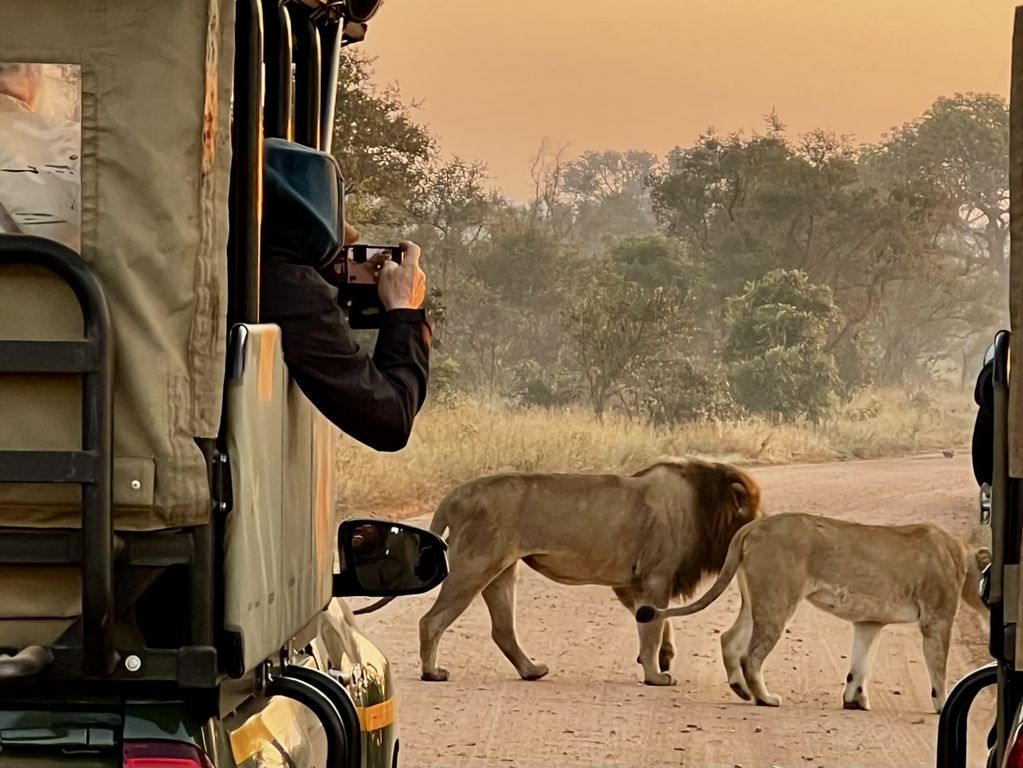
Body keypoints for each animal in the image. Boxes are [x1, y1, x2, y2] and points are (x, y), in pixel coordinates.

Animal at [360, 460, 761, 687]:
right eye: (752, 513)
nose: (758, 533)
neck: (704, 504)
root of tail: (456, 494)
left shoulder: (632, 584)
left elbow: (657, 622)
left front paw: (662, 658)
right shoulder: (655, 577)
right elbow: (651, 628)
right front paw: (655, 675)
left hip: (500, 570)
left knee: (502, 630)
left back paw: (532, 671)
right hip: (474, 564)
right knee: (432, 620)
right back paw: (432, 673)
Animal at [634, 513, 986, 719]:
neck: (963, 554)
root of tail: (753, 526)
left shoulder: (869, 621)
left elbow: (861, 663)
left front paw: (854, 701)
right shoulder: (937, 619)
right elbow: (938, 668)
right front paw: (942, 705)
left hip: (756, 599)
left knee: (730, 639)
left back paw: (742, 690)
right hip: (778, 600)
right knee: (751, 654)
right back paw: (765, 698)